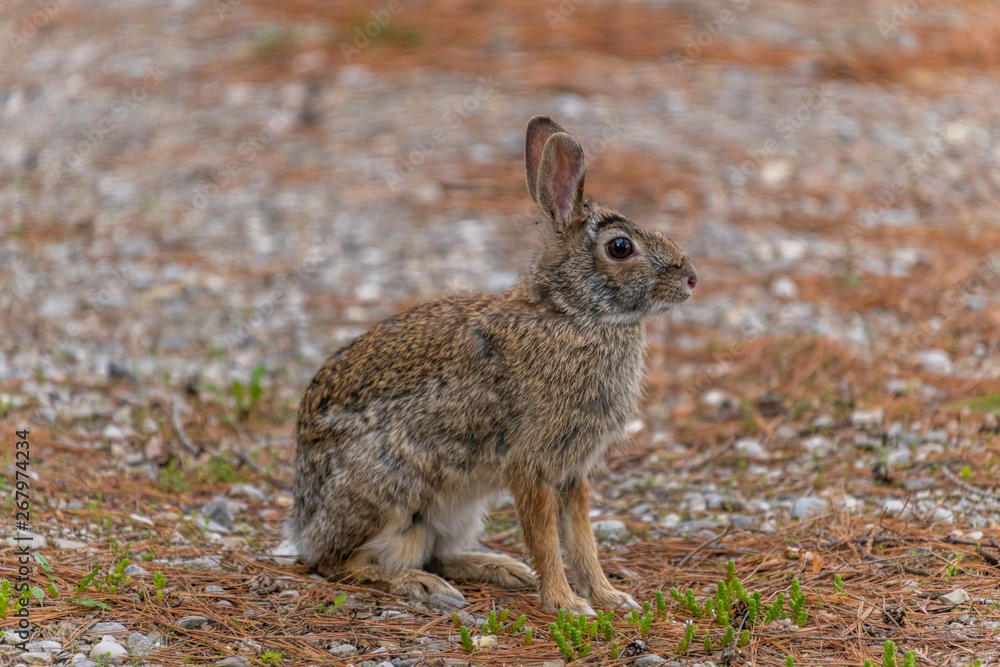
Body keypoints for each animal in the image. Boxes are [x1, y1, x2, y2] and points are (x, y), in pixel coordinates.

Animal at [287, 116, 697, 615]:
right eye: (621, 247)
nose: (691, 279)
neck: (572, 312)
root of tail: (303, 522)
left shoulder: (573, 471)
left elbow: (582, 539)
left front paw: (610, 597)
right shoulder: (530, 465)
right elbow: (546, 540)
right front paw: (566, 604)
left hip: (457, 510)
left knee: (439, 553)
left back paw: (500, 568)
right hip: (387, 491)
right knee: (338, 563)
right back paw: (422, 585)